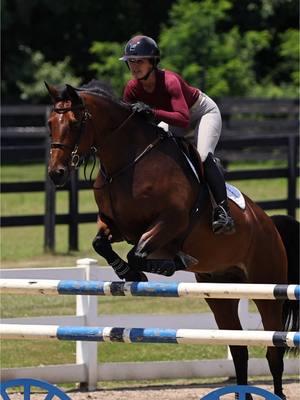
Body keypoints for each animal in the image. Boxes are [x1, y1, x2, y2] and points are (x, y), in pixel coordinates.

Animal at [45, 79, 298, 398]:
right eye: (50, 123)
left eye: (76, 122)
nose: (56, 173)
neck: (127, 162)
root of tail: (269, 224)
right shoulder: (117, 226)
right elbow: (101, 243)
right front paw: (128, 272)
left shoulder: (169, 221)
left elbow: (138, 252)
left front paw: (164, 265)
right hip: (220, 292)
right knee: (239, 348)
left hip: (266, 287)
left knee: (273, 348)